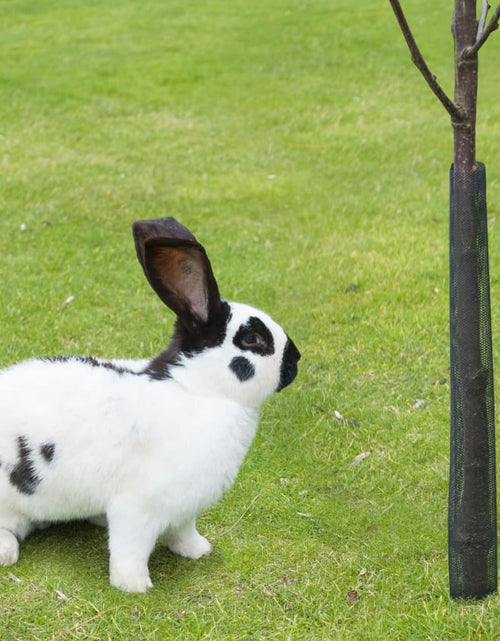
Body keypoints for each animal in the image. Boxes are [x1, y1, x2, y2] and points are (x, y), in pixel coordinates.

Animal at [0, 218, 298, 592]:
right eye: (253, 339)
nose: (296, 361)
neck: (196, 389)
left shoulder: (184, 507)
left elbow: (183, 532)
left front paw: (198, 551)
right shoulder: (137, 507)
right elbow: (132, 547)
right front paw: (135, 585)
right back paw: (6, 553)